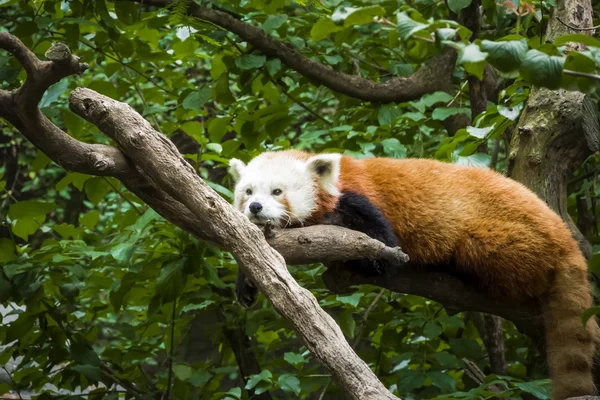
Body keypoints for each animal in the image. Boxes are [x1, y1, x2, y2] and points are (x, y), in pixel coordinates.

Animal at [229, 150, 596, 400]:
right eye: (248, 192)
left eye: (277, 192)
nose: (255, 207)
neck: (336, 182)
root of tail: (564, 236)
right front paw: (246, 279)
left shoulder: (362, 203)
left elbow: (382, 253)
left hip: (509, 238)